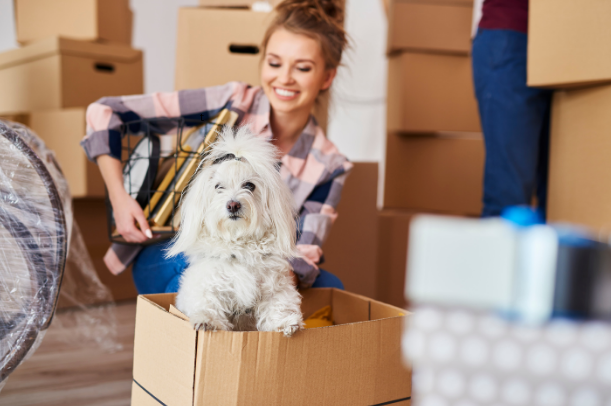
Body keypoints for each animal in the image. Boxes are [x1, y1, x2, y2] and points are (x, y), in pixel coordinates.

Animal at [167, 126, 304, 336]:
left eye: (249, 185)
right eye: (218, 187)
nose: (233, 205)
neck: (239, 245)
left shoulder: (275, 286)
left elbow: (278, 304)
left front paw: (285, 323)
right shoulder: (208, 281)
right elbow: (207, 301)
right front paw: (207, 321)